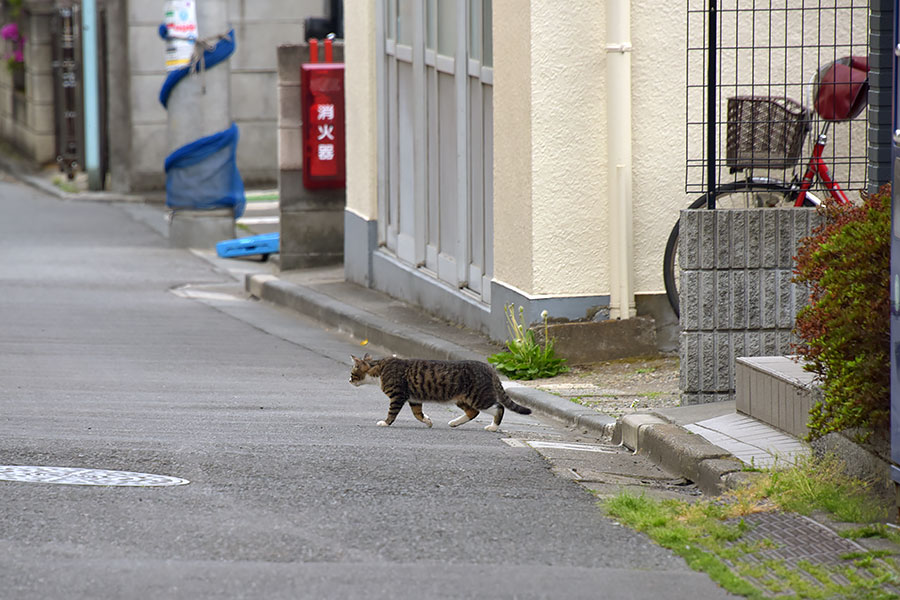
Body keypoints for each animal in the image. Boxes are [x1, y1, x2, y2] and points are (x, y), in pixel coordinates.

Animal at [348, 352, 532, 432]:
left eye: (352, 373)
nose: (348, 381)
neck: (379, 370)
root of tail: (489, 367)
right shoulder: (414, 398)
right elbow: (417, 414)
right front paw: (428, 421)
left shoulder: (398, 396)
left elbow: (392, 412)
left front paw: (385, 423)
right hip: (462, 398)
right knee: (473, 412)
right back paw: (455, 423)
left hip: (478, 396)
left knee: (498, 407)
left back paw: (493, 426)